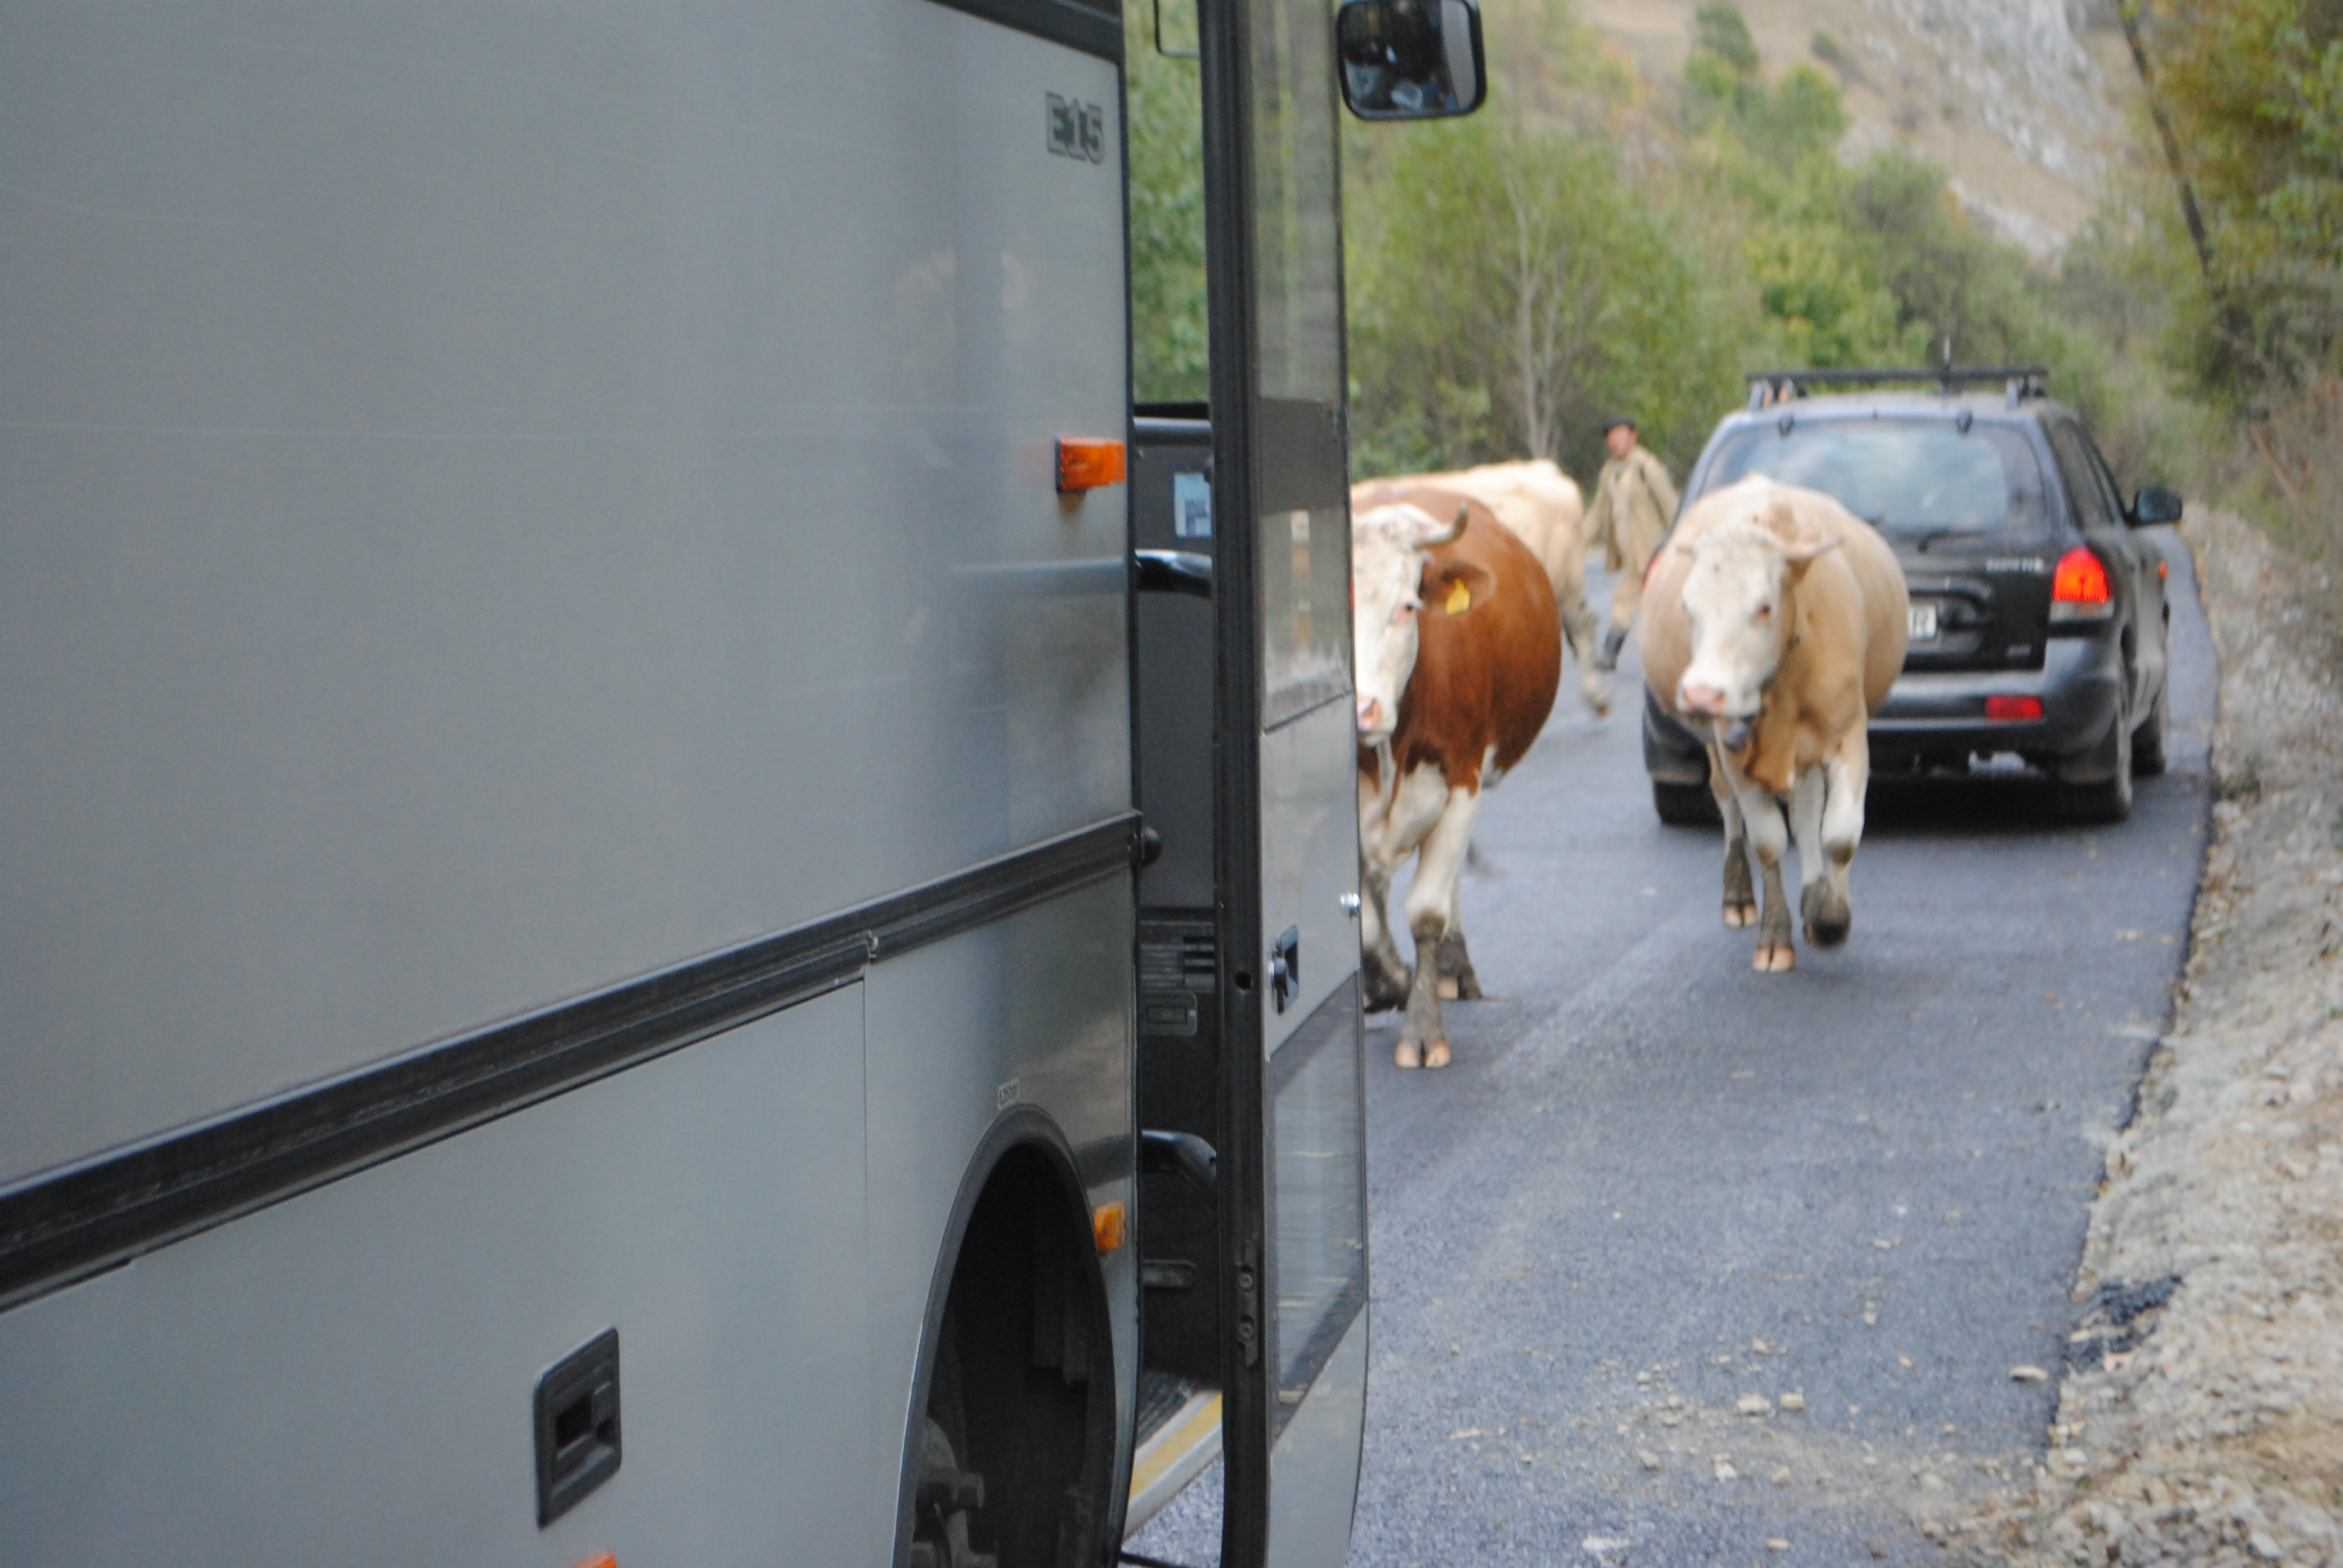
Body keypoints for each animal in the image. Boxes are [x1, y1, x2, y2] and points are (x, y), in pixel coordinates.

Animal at [1353, 489, 1561, 1067]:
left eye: (1407, 606)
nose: (1361, 707)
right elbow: (1365, 920)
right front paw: (1389, 982)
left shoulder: (1463, 779)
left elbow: (1426, 911)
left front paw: (1423, 1030)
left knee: (1445, 892)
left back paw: (1452, 967)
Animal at [1637, 478, 1908, 972]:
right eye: (1688, 607)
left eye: (1762, 607)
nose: (1702, 693)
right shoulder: (1736, 750)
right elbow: (1768, 841)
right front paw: (1776, 937)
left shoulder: (1848, 735)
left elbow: (1839, 835)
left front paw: (1830, 919)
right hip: (1720, 749)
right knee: (1730, 807)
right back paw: (1740, 895)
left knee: (1806, 810)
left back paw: (1813, 896)